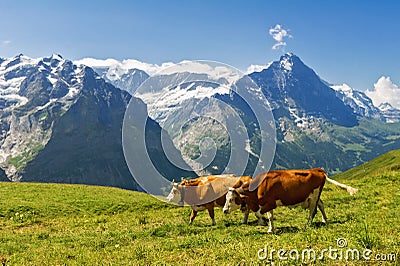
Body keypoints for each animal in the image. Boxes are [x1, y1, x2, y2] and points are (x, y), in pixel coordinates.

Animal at [223, 168, 358, 233]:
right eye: (226, 198)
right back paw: (324, 220)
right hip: (313, 196)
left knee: (313, 211)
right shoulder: (267, 203)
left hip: (314, 196)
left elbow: (258, 214)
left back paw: (307, 225)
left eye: (232, 199)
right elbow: (270, 216)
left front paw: (263, 223)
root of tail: (318, 170)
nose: (224, 210)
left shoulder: (270, 203)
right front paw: (270, 229)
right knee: (321, 205)